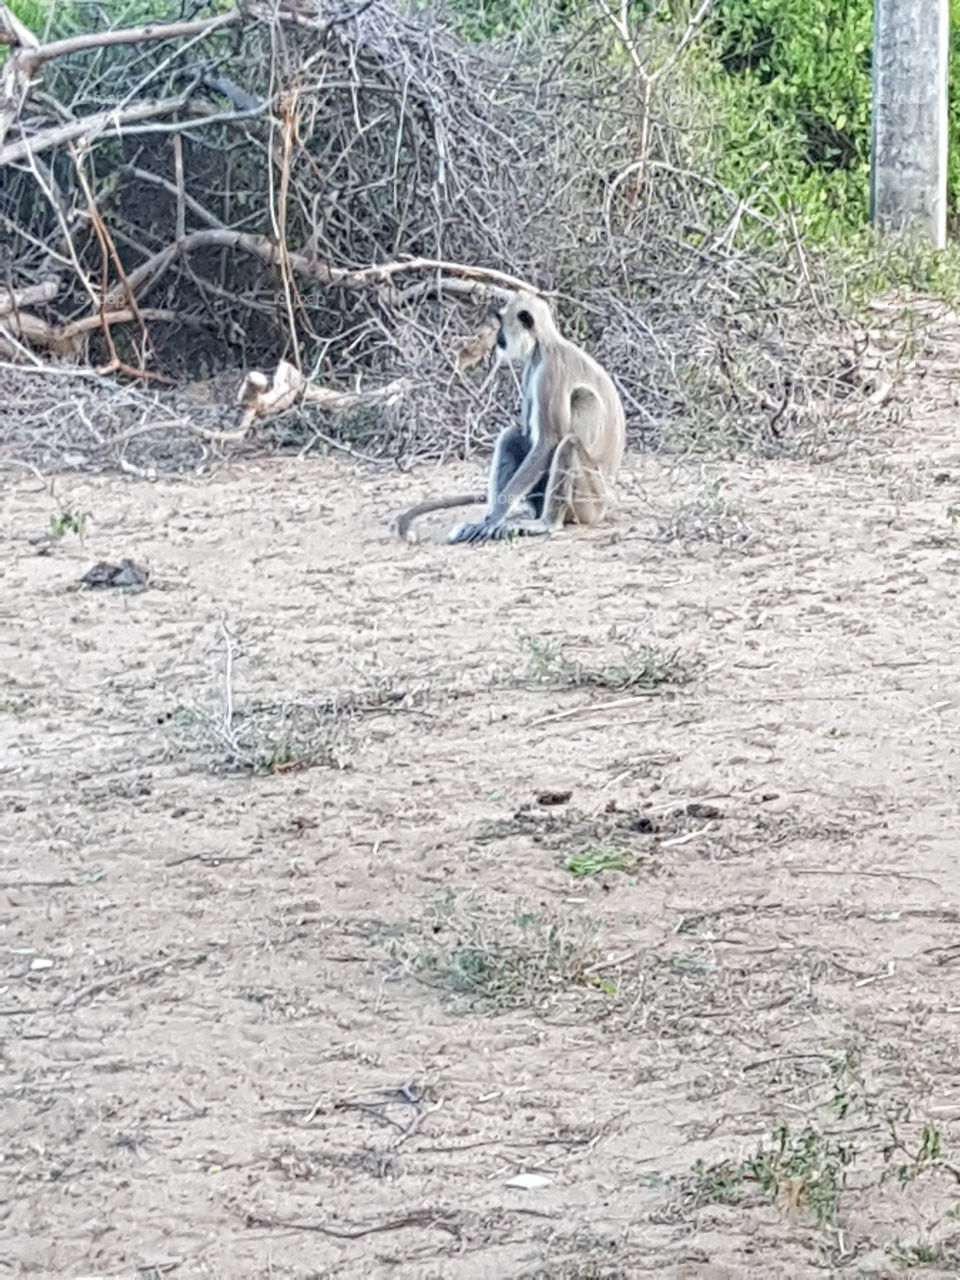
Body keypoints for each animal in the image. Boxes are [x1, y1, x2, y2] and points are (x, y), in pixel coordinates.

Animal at [395, 292, 625, 546]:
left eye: (502, 323)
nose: (498, 338)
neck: (543, 344)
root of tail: (608, 501)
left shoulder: (551, 368)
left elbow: (549, 440)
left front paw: (495, 517)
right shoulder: (531, 368)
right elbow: (525, 436)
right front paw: (491, 519)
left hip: (590, 502)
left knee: (571, 434)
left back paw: (545, 523)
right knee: (512, 436)